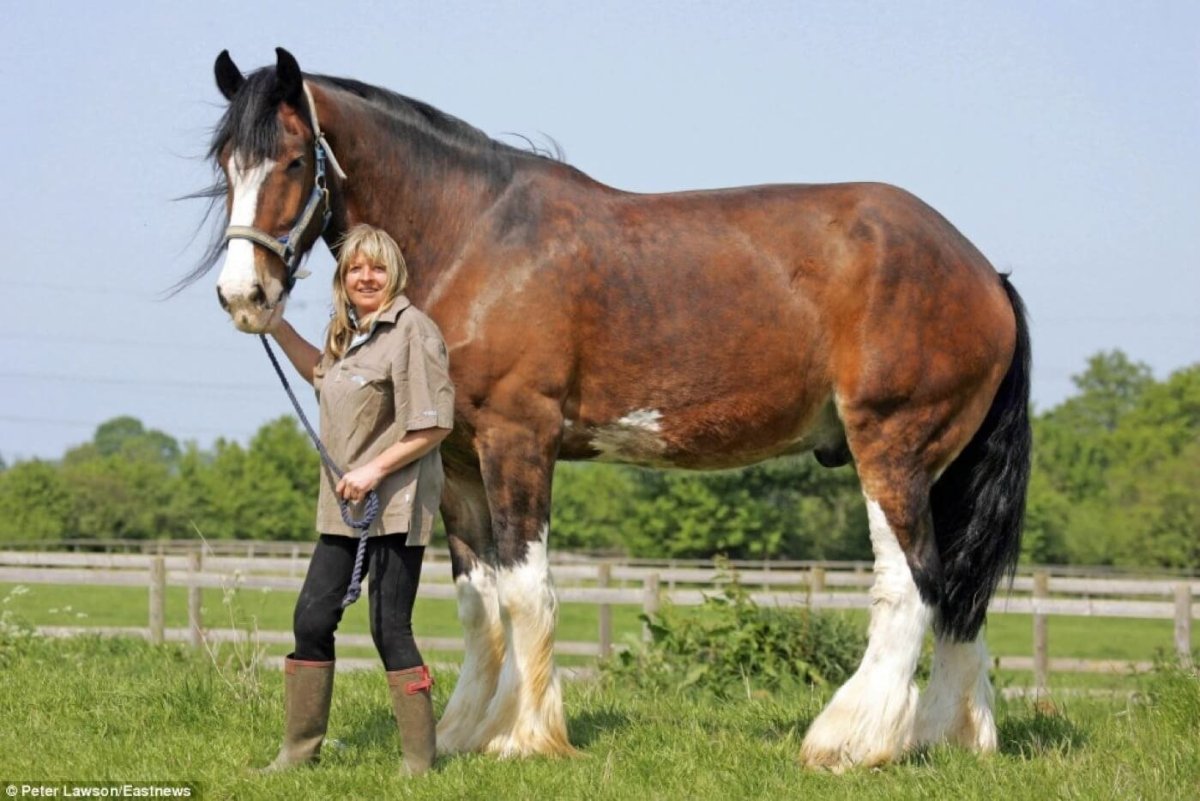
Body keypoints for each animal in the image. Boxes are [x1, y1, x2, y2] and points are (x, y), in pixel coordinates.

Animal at [197, 48, 1031, 769]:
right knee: (959, 594)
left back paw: (851, 739)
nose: (243, 296)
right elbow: (478, 598)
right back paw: (951, 736)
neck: (475, 235)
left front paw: (527, 736)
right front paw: (465, 730)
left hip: (891, 447)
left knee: (911, 584)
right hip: (940, 467)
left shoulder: (518, 437)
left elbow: (526, 587)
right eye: (224, 164)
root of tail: (982, 271)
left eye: (293, 159)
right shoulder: (458, 457)